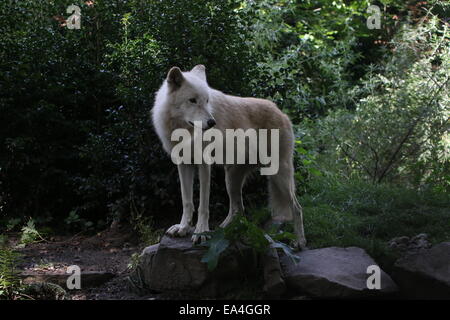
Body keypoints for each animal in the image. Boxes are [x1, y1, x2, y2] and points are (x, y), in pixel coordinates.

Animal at [151, 65, 306, 249]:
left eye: (207, 101)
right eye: (192, 100)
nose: (212, 123)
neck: (183, 130)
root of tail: (281, 112)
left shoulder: (204, 165)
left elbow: (203, 205)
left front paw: (201, 232)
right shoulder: (183, 164)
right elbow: (187, 201)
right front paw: (183, 228)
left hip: (278, 175)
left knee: (297, 208)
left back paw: (300, 241)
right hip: (231, 178)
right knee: (238, 209)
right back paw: (224, 229)